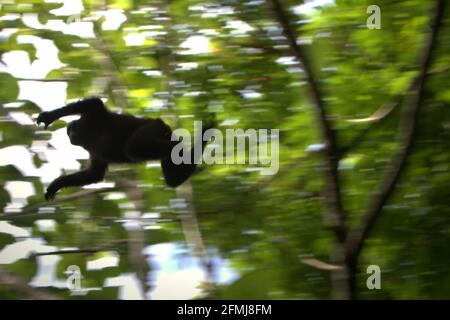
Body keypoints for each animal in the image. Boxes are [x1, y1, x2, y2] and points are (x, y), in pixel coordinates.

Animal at [36, 99, 209, 201]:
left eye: (72, 130)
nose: (70, 135)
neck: (89, 135)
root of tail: (165, 127)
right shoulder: (93, 150)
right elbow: (94, 174)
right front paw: (57, 184)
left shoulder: (93, 118)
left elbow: (94, 103)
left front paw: (50, 116)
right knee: (171, 178)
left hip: (152, 127)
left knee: (133, 148)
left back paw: (186, 149)